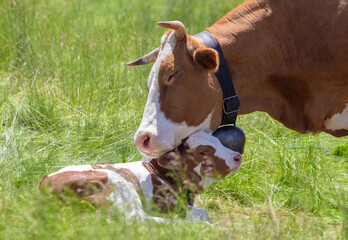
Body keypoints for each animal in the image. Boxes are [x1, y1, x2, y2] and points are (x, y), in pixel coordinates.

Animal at [39, 130, 242, 222]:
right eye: (204, 152)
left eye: (217, 140)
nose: (237, 156)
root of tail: (47, 183)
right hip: (121, 189)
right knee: (140, 220)